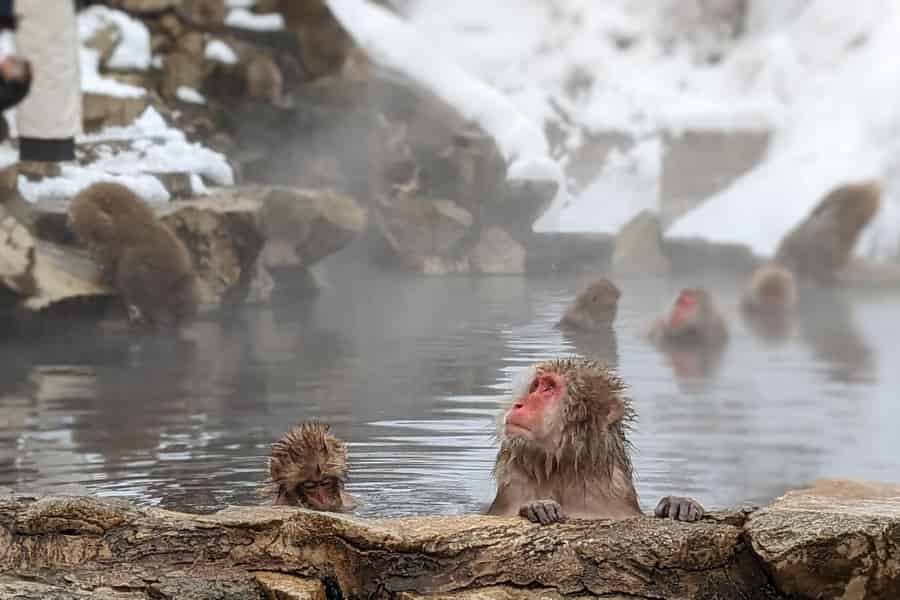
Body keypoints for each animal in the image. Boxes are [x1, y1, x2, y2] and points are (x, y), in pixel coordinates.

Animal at [487, 357, 704, 525]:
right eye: (535, 387)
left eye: (549, 388)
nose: (518, 404)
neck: (562, 468)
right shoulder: (513, 488)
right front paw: (537, 506)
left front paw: (678, 503)